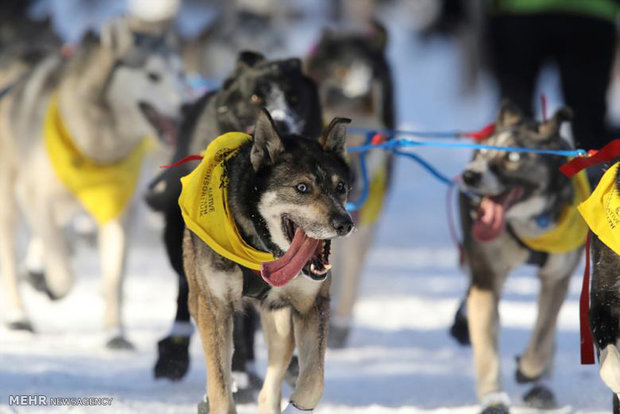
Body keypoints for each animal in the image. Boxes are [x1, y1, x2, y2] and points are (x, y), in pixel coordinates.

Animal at [0, 17, 184, 348]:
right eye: (153, 75)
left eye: (181, 73)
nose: (188, 104)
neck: (99, 145)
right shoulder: (33, 195)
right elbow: (63, 267)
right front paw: (56, 284)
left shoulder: (120, 210)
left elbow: (115, 276)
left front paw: (115, 332)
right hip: (10, 199)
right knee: (12, 255)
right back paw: (19, 314)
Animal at [182, 110, 352, 414]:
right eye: (302, 187)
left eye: (340, 187)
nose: (344, 223)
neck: (262, 250)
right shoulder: (215, 307)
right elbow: (220, 385)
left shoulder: (312, 304)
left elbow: (314, 380)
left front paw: (297, 404)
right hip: (199, 300)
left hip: (280, 321)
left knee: (270, 384)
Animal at [458, 102, 584, 410]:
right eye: (482, 153)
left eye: (513, 156)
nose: (469, 175)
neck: (529, 225)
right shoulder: (486, 280)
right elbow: (486, 343)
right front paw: (493, 396)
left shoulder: (556, 278)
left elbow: (542, 335)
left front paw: (529, 370)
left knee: (548, 334)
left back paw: (541, 384)